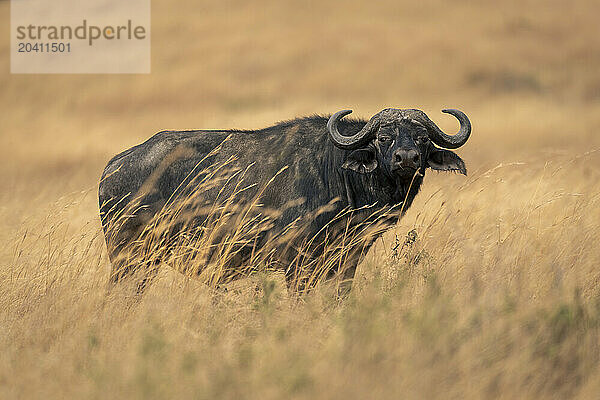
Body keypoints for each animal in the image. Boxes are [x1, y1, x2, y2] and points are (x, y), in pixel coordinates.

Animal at [98, 108, 472, 292]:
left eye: (422, 138)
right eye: (384, 137)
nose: (406, 158)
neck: (337, 172)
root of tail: (114, 165)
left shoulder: (346, 264)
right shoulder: (297, 263)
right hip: (131, 261)